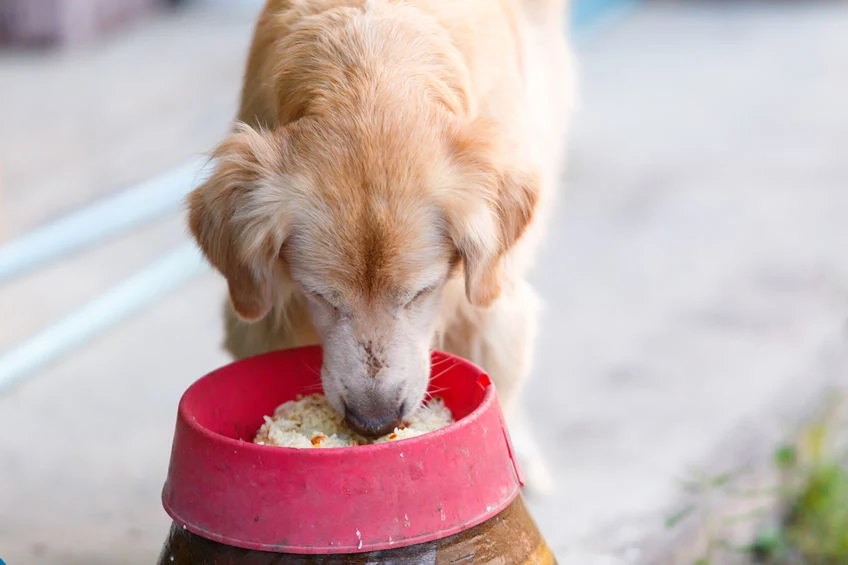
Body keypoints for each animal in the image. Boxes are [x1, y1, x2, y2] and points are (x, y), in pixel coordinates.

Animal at [189, 0, 572, 492]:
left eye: (421, 292)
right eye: (320, 296)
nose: (374, 423)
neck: (369, 73)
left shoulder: (488, 303)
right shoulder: (265, 312)